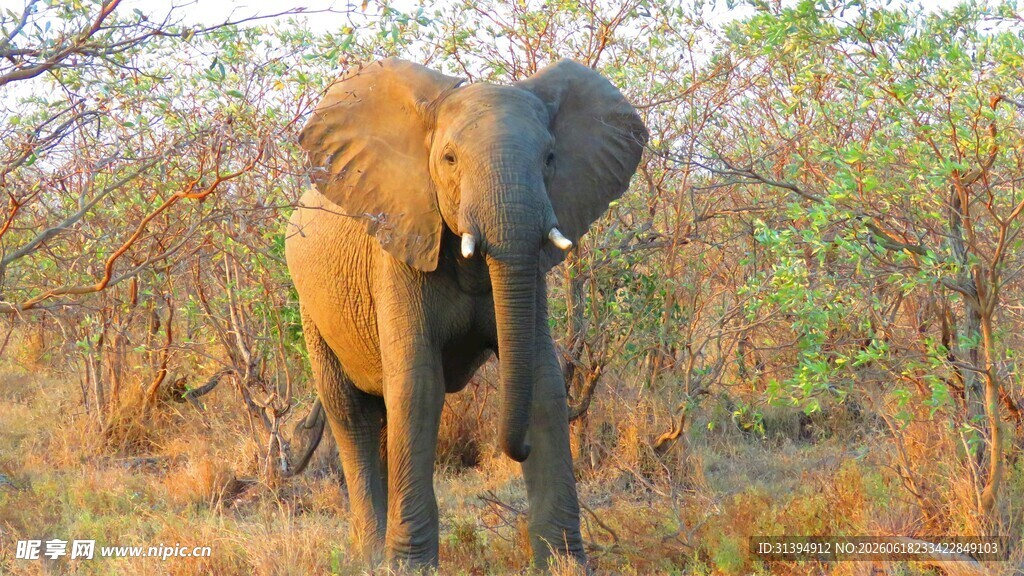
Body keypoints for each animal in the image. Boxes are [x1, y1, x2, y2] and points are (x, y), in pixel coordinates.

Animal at [284, 57, 647, 570]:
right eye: (450, 159)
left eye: (550, 159)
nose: (516, 448)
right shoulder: (399, 248)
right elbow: (418, 386)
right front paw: (409, 567)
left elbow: (543, 379)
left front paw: (565, 563)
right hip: (312, 309)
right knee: (351, 413)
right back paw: (371, 555)